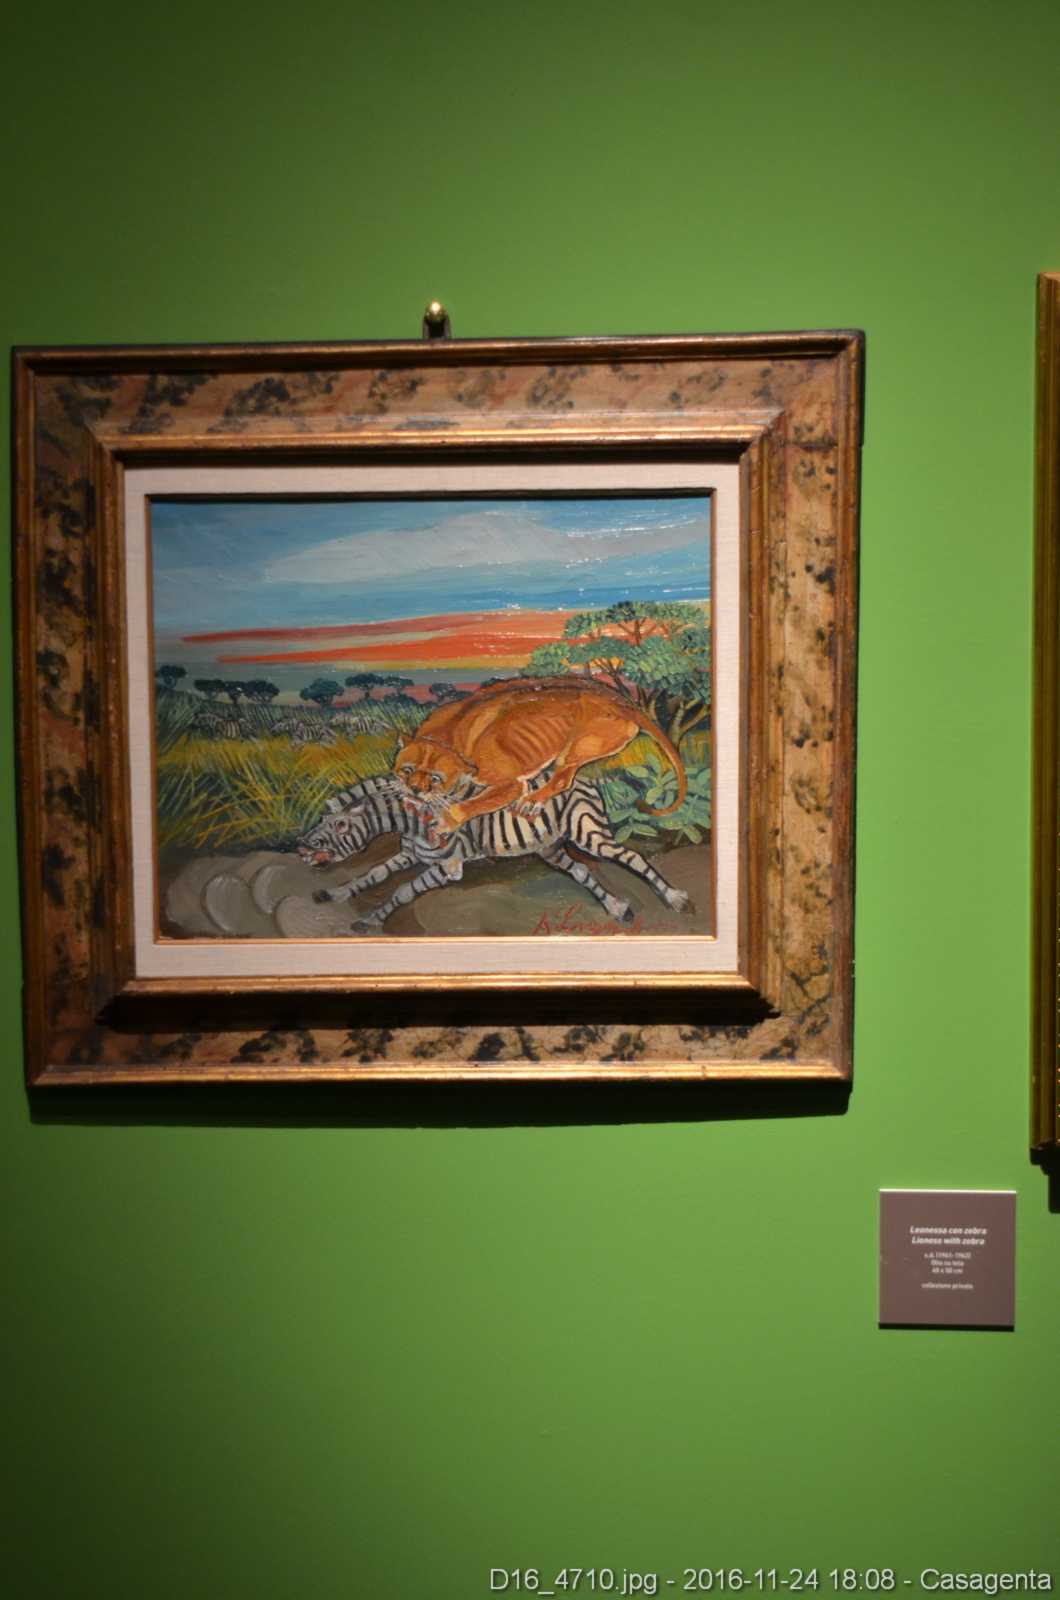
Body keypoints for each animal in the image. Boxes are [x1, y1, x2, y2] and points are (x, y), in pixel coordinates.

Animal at [295, 774, 690, 932]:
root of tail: (586, 779)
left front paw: (370, 920)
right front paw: (334, 893)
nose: (300, 848)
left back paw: (674, 898)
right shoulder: (411, 855)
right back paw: (617, 907)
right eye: (320, 822)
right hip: (550, 847)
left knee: (632, 858)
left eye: (339, 828)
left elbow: (402, 891)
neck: (413, 822)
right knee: (582, 873)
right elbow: (371, 874)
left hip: (589, 833)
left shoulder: (448, 867)